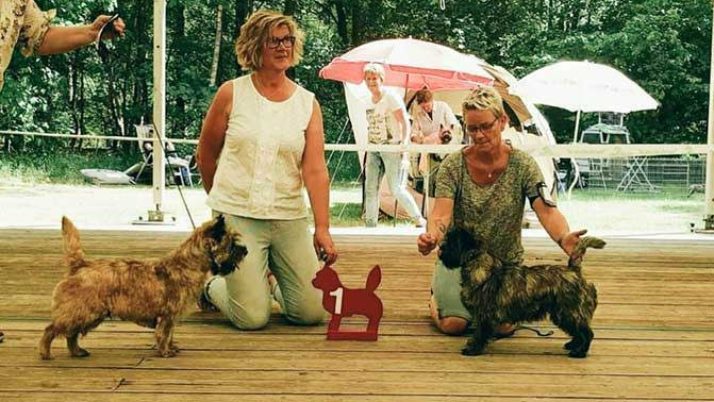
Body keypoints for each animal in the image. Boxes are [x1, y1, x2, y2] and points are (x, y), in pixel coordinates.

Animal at [41, 215, 249, 360]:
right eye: (231, 244)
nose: (246, 250)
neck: (186, 265)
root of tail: (80, 265)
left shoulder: (170, 317)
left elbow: (169, 335)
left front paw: (171, 348)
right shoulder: (167, 316)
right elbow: (163, 335)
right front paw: (165, 352)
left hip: (88, 314)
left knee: (71, 334)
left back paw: (77, 352)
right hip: (84, 312)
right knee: (52, 329)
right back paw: (45, 353)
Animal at [440, 226, 600, 358]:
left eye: (451, 242)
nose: (440, 249)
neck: (479, 266)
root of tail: (574, 270)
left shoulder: (484, 315)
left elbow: (480, 333)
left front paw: (473, 349)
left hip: (569, 312)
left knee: (587, 333)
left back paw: (579, 352)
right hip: (563, 314)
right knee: (578, 332)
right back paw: (572, 345)